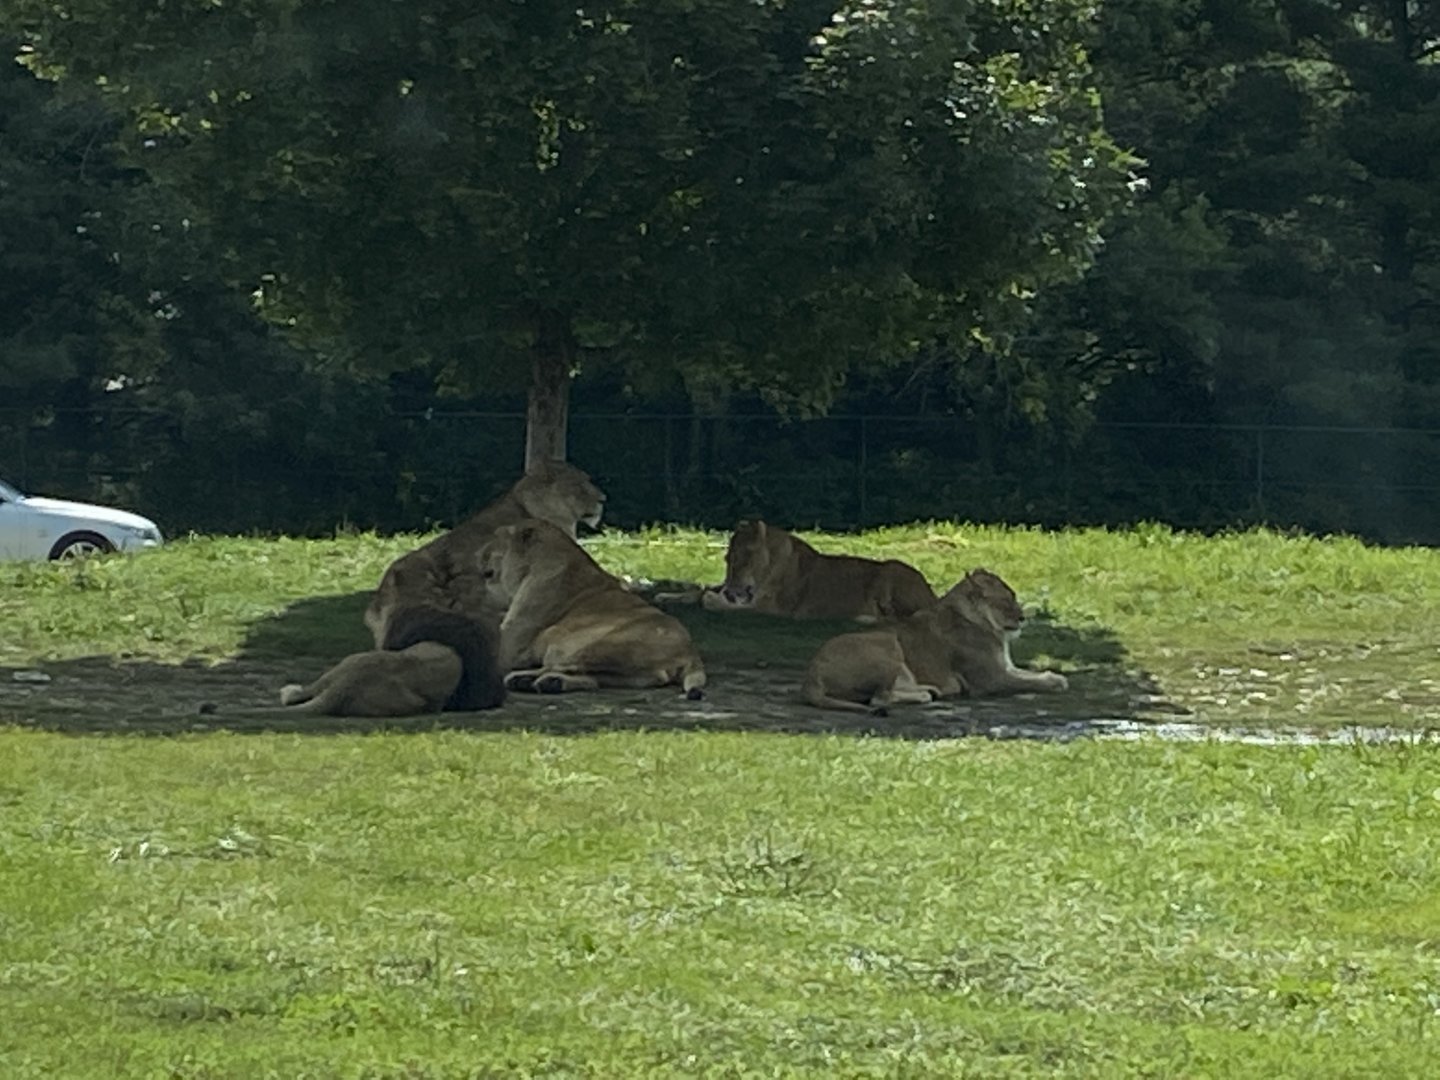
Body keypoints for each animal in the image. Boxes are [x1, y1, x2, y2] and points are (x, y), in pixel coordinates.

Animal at [479, 518, 706, 698]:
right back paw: (550, 683)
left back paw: (524, 679)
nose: (478, 553)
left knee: (561, 666)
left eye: (495, 540)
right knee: (594, 679)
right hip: (632, 673)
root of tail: (691, 652)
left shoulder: (511, 645)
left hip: (601, 647)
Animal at [700, 519, 936, 620]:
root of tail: (932, 595)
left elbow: (721, 605)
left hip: (890, 570)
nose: (731, 591)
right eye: (727, 559)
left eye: (744, 559)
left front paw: (711, 598)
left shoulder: (770, 608)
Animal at [802, 568, 1068, 714]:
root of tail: (812, 675)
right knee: (879, 698)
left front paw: (1053, 675)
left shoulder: (1005, 668)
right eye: (1005, 600)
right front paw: (1056, 682)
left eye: (1014, 596)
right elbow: (1030, 682)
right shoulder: (991, 680)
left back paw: (929, 690)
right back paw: (925, 695)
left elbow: (1031, 674)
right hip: (887, 642)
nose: (1022, 618)